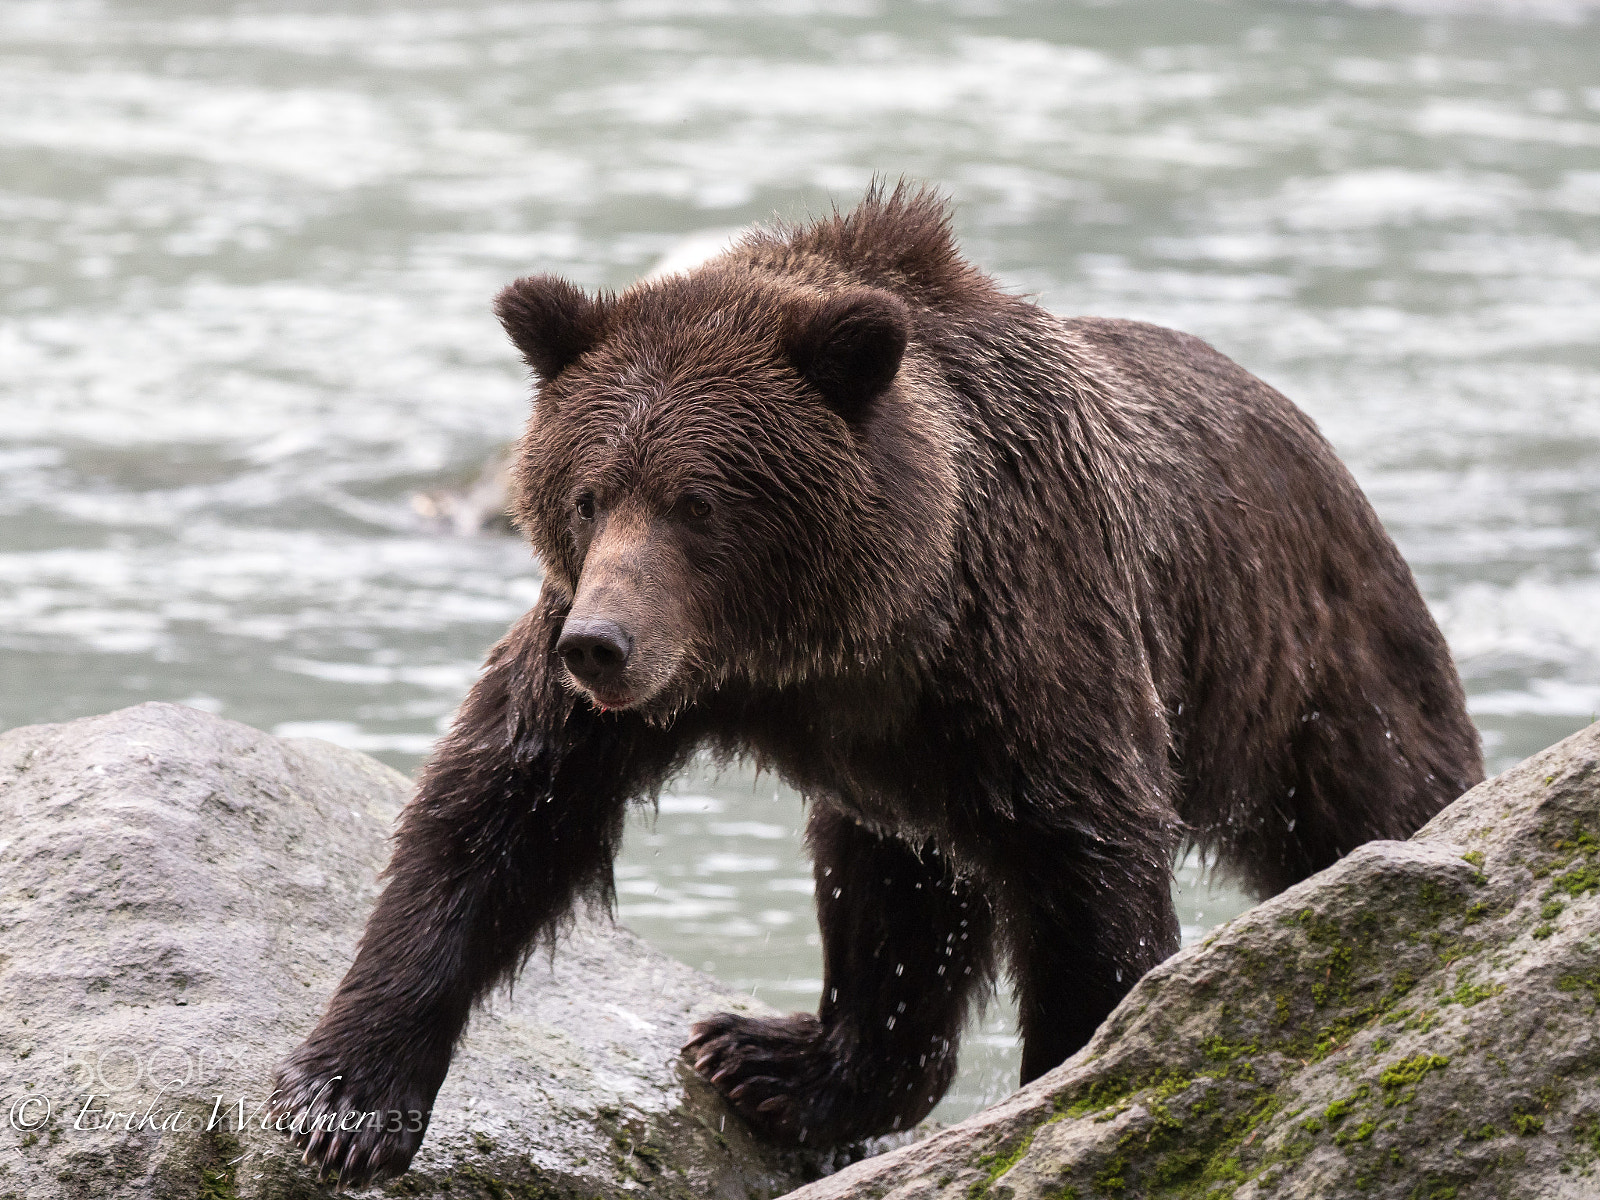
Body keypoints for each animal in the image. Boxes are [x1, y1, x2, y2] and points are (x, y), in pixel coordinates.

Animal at [271, 183, 1482, 1186]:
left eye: (698, 502)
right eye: (587, 492)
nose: (601, 646)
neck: (852, 632)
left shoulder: (1032, 646)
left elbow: (1089, 883)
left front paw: (1072, 1087)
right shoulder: (659, 677)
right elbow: (500, 811)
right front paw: (341, 1098)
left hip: (1321, 676)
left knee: (1380, 802)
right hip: (903, 791)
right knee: (890, 895)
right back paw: (775, 1061)